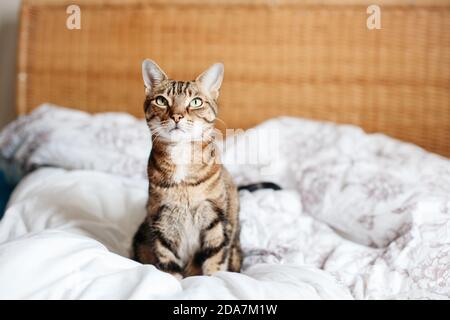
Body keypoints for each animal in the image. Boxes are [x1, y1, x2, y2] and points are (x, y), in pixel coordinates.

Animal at [132, 58, 241, 278]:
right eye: (161, 100)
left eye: (196, 102)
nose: (177, 116)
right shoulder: (161, 220)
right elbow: (168, 264)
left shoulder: (215, 218)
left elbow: (215, 260)